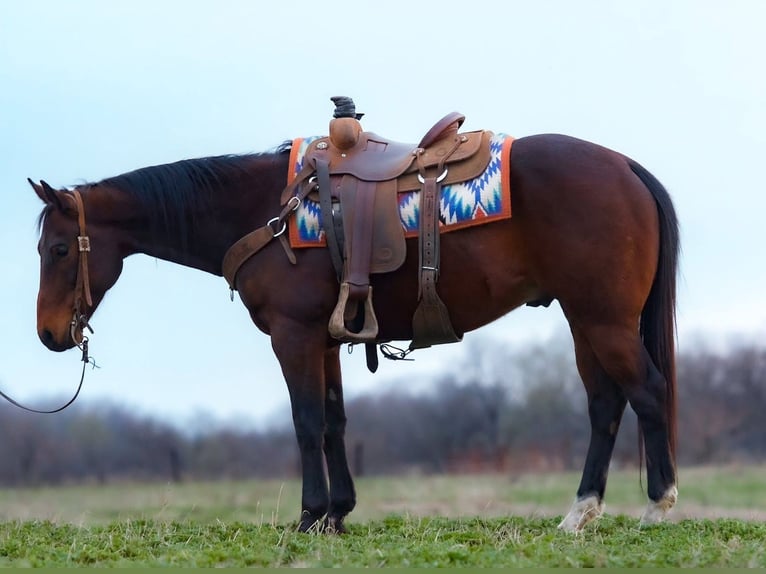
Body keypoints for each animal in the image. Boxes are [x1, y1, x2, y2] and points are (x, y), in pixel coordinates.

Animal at [30, 119, 679, 533]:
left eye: (59, 249)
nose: (49, 334)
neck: (268, 211)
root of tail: (624, 166)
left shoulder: (292, 336)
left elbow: (306, 422)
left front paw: (310, 515)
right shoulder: (323, 339)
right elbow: (335, 421)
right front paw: (339, 510)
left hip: (604, 319)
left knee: (647, 392)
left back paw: (657, 506)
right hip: (585, 319)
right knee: (605, 404)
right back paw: (580, 512)